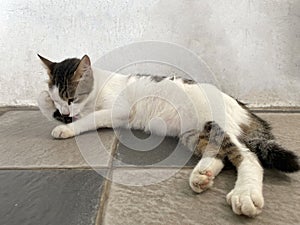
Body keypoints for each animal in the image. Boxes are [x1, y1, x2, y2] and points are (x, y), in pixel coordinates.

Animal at [38, 53, 300, 217]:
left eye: (71, 98)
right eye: (58, 99)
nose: (64, 111)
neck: (99, 88)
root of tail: (242, 107)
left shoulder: (118, 111)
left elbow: (89, 119)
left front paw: (66, 127)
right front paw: (53, 110)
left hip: (214, 122)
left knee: (247, 156)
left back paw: (244, 194)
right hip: (194, 133)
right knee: (219, 155)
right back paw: (202, 175)